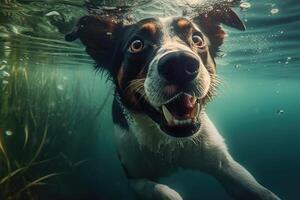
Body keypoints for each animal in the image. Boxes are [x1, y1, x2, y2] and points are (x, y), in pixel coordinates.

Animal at [65, 3, 282, 200]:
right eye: (136, 45)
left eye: (197, 39)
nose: (179, 64)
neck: (171, 142)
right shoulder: (135, 177)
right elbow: (164, 192)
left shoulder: (223, 163)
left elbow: (260, 191)